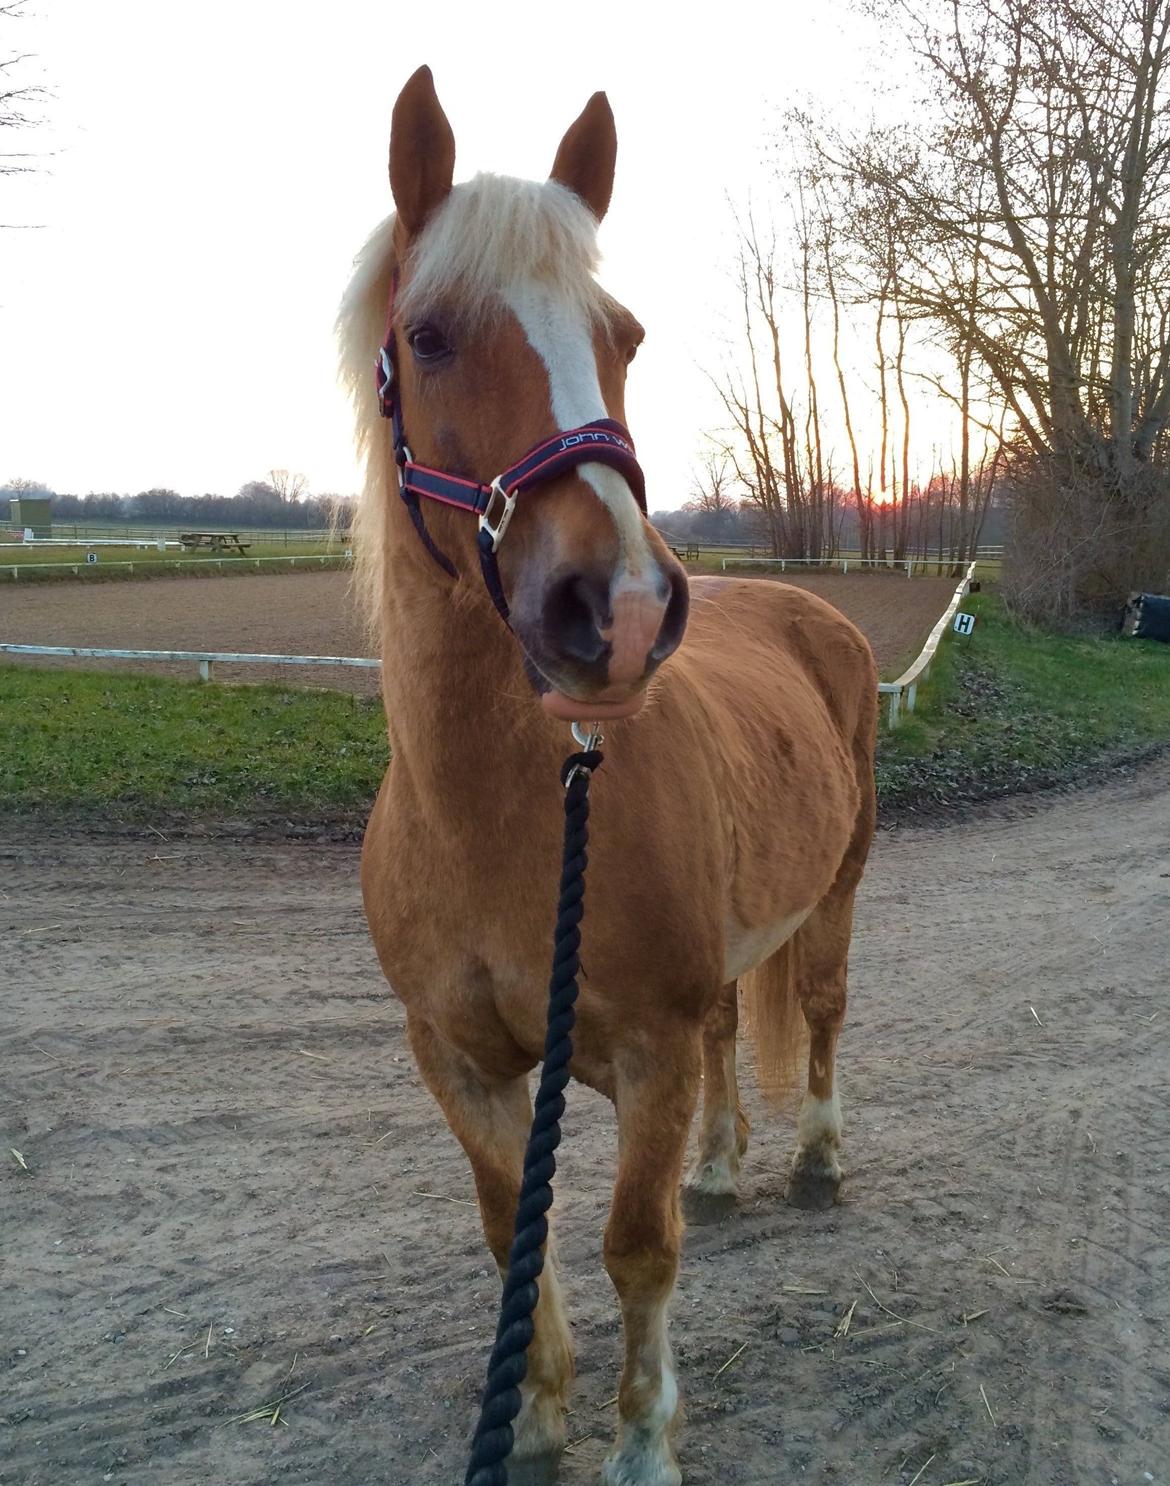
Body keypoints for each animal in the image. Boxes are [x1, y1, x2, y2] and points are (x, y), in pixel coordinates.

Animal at [343, 69, 874, 1486]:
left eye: (624, 336)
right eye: (428, 336)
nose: (624, 611)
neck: (495, 818)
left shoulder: (643, 1047)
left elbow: (637, 1247)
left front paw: (642, 1443)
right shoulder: (460, 1061)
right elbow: (505, 1233)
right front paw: (533, 1417)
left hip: (840, 892)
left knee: (819, 1013)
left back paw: (813, 1157)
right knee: (735, 1032)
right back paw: (723, 1168)